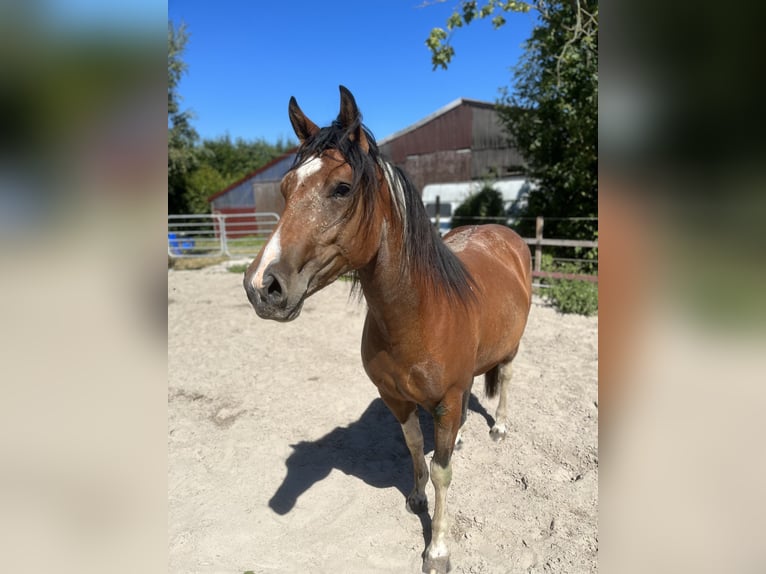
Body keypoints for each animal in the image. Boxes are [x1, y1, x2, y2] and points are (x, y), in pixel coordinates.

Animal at [246, 85, 536, 574]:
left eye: (342, 188)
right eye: (285, 189)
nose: (261, 287)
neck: (417, 317)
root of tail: (505, 235)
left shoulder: (447, 398)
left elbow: (441, 471)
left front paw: (437, 549)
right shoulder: (396, 398)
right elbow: (416, 448)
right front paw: (417, 496)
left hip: (511, 350)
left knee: (508, 380)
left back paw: (499, 427)